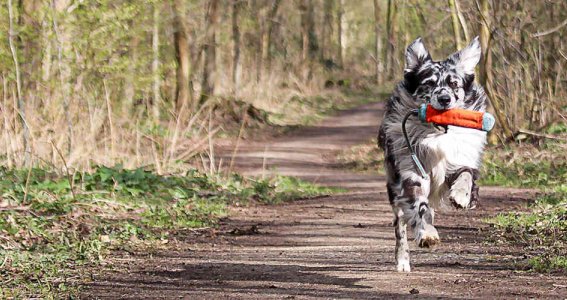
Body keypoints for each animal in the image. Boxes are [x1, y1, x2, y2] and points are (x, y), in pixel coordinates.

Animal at [378, 37, 488, 272]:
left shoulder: (461, 159)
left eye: (454, 84)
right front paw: (427, 234)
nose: (445, 99)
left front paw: (461, 195)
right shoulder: (411, 171)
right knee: (400, 225)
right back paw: (402, 259)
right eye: (428, 83)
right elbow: (419, 206)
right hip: (394, 189)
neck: (437, 132)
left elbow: (465, 174)